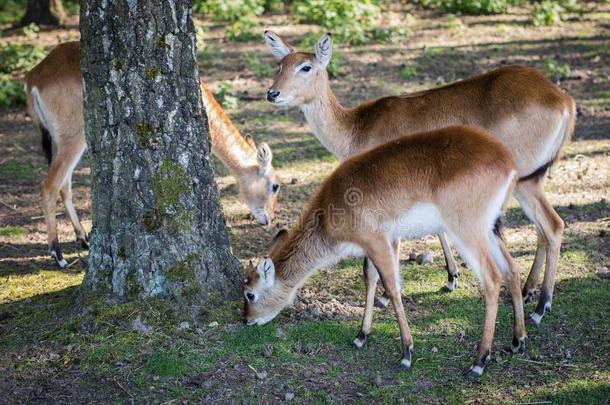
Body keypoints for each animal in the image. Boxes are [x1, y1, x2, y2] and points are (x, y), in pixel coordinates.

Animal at [24, 41, 280, 268]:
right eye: (275, 185)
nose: (270, 217)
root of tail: (34, 77)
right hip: (74, 139)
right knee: (50, 185)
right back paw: (58, 255)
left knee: (64, 185)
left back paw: (83, 238)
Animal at [242, 125, 524, 376]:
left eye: (250, 294)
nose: (246, 321)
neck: (329, 212)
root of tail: (507, 161)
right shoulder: (380, 243)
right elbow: (370, 278)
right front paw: (361, 335)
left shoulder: (378, 242)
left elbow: (392, 287)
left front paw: (406, 353)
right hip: (491, 229)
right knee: (511, 269)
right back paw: (518, 341)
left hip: (467, 231)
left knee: (492, 278)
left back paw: (479, 362)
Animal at [264, 30, 572, 324]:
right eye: (280, 64)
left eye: (305, 66)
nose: (272, 93)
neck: (357, 126)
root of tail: (562, 98)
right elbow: (438, 230)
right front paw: (451, 277)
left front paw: (385, 298)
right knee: (542, 230)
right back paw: (529, 291)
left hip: (525, 182)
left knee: (552, 225)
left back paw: (541, 307)